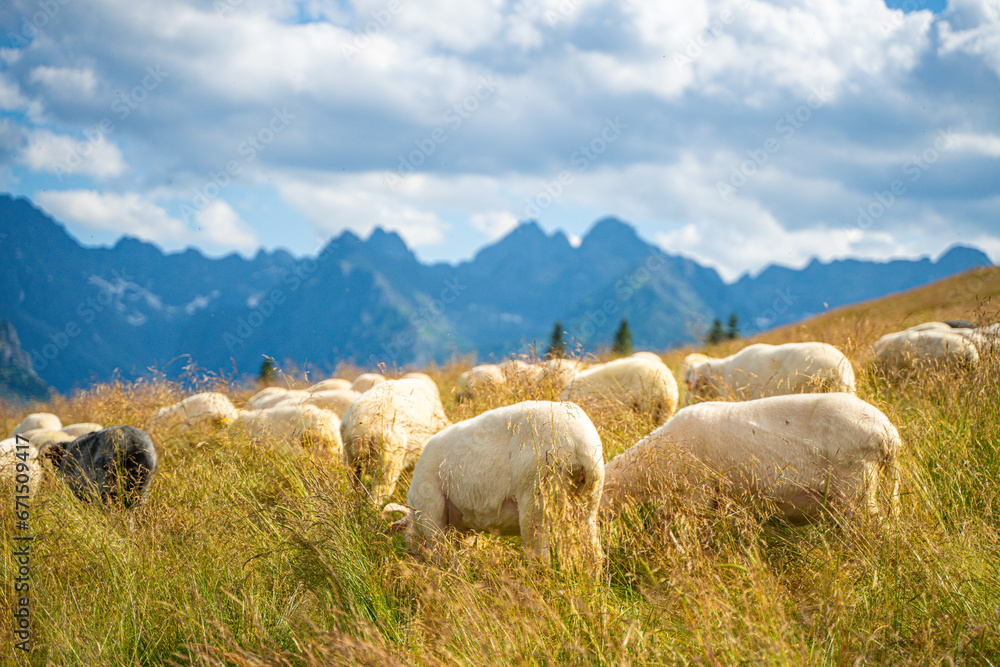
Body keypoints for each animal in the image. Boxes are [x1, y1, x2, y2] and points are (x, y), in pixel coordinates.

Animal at [391, 400, 604, 571]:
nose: (412, 559)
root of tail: (578, 442)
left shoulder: (431, 511)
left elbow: (440, 553)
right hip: (588, 501)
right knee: (593, 553)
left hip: (536, 500)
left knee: (539, 558)